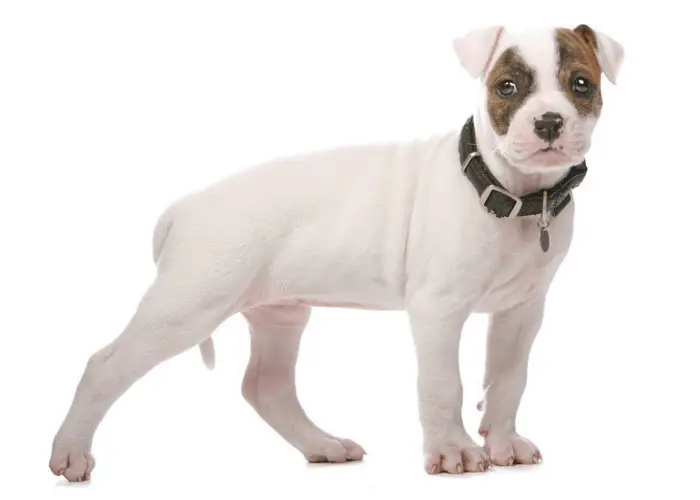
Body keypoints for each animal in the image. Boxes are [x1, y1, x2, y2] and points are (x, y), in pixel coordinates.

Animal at [52, 23, 628, 480]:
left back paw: (322, 445)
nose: (549, 122)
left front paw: (504, 443)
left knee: (266, 386)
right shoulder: (438, 310)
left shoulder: (522, 311)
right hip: (187, 306)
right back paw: (70, 454)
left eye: (581, 84)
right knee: (104, 365)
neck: (514, 192)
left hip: (279, 313)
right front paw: (452, 452)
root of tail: (183, 208)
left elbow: (509, 379)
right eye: (507, 87)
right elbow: (444, 383)